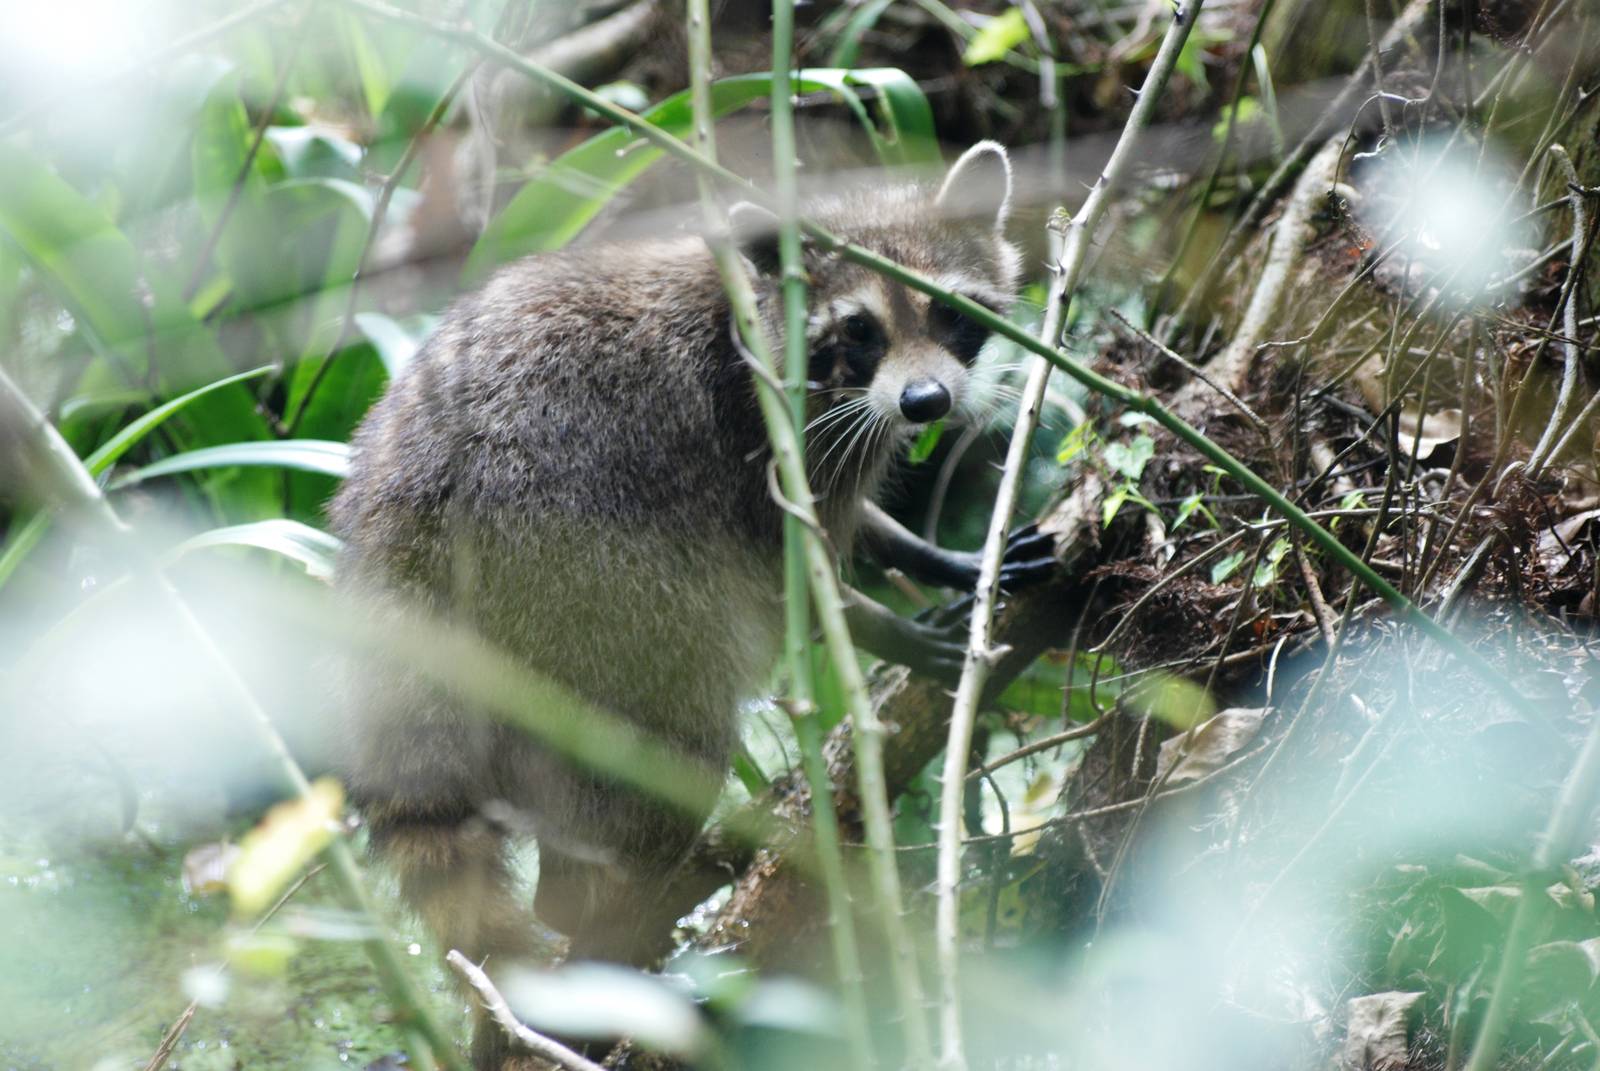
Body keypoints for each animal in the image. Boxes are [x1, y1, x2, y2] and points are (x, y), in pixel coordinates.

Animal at [331, 141, 1048, 1068]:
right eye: (860, 329)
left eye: (948, 310)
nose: (927, 404)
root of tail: (407, 521)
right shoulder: (759, 435)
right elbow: (795, 575)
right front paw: (883, 626)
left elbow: (853, 529)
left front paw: (935, 556)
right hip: (581, 575)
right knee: (673, 741)